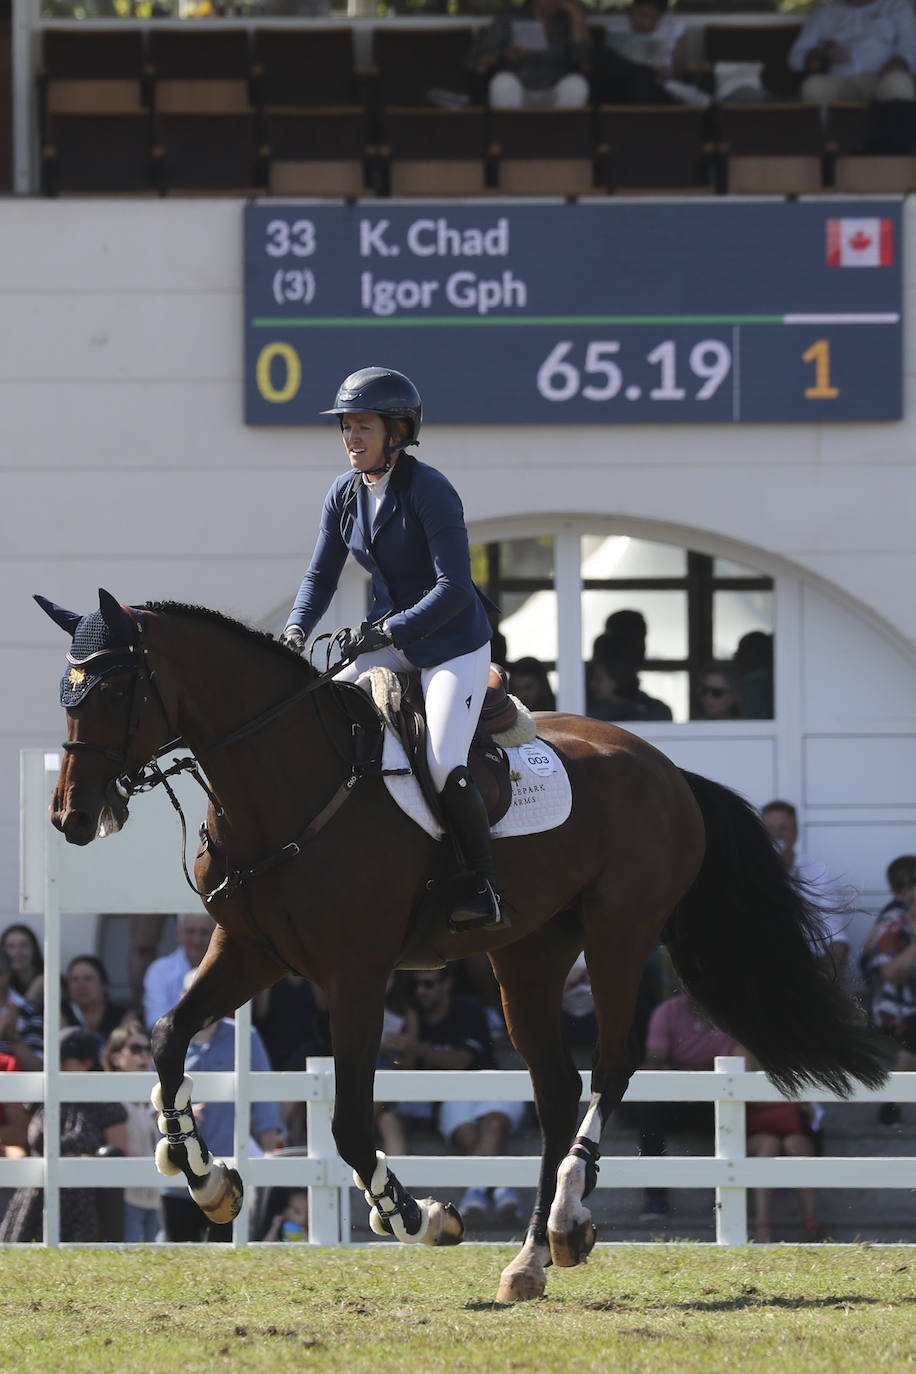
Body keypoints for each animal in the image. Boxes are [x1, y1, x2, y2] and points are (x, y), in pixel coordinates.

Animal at [37, 590, 889, 1297]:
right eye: (65, 692)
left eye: (113, 691)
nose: (71, 818)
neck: (281, 781)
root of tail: (668, 768)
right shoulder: (252, 952)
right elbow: (166, 1036)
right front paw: (207, 1179)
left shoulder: (356, 972)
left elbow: (350, 1122)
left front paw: (413, 1215)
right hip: (529, 954)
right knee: (556, 1089)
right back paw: (535, 1255)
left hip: (619, 933)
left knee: (612, 1064)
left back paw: (567, 1213)